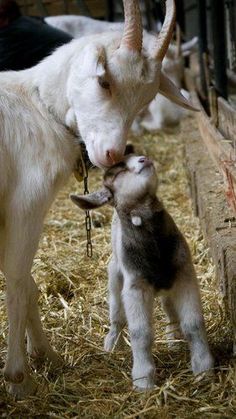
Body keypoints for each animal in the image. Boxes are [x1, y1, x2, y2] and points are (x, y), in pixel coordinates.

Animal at [0, 0, 195, 400]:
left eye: (145, 99)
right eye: (104, 80)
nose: (112, 154)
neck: (37, 104)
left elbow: (27, 282)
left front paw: (45, 354)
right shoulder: (24, 205)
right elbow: (17, 283)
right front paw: (18, 377)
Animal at [71, 156, 214, 392]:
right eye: (118, 173)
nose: (144, 159)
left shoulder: (184, 275)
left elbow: (193, 323)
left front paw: (204, 367)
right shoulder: (135, 287)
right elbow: (140, 333)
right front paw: (143, 379)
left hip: (168, 286)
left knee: (170, 312)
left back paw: (173, 339)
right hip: (115, 278)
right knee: (117, 316)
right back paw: (112, 343)